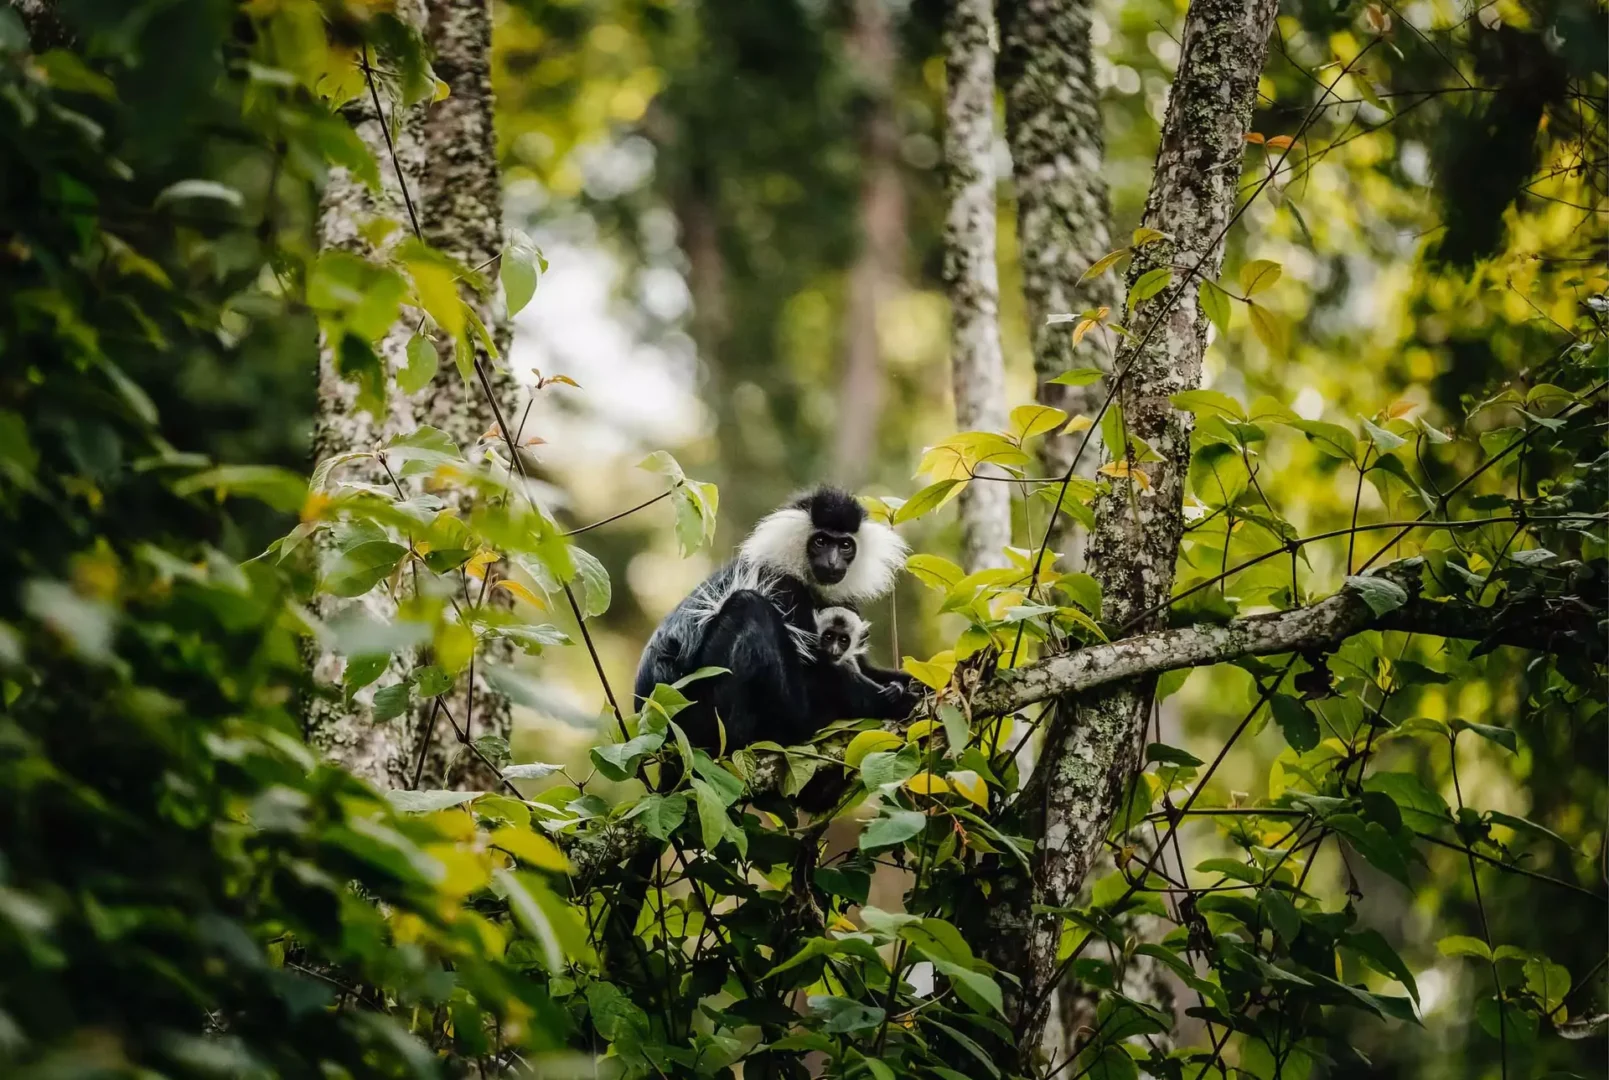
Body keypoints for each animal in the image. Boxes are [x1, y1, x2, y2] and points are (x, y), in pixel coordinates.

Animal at [633, 485, 920, 752]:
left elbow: (860, 665)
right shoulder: (786, 590)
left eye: (845, 545)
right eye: (821, 542)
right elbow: (819, 671)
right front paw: (896, 700)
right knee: (750, 607)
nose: (832, 562)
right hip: (699, 711)